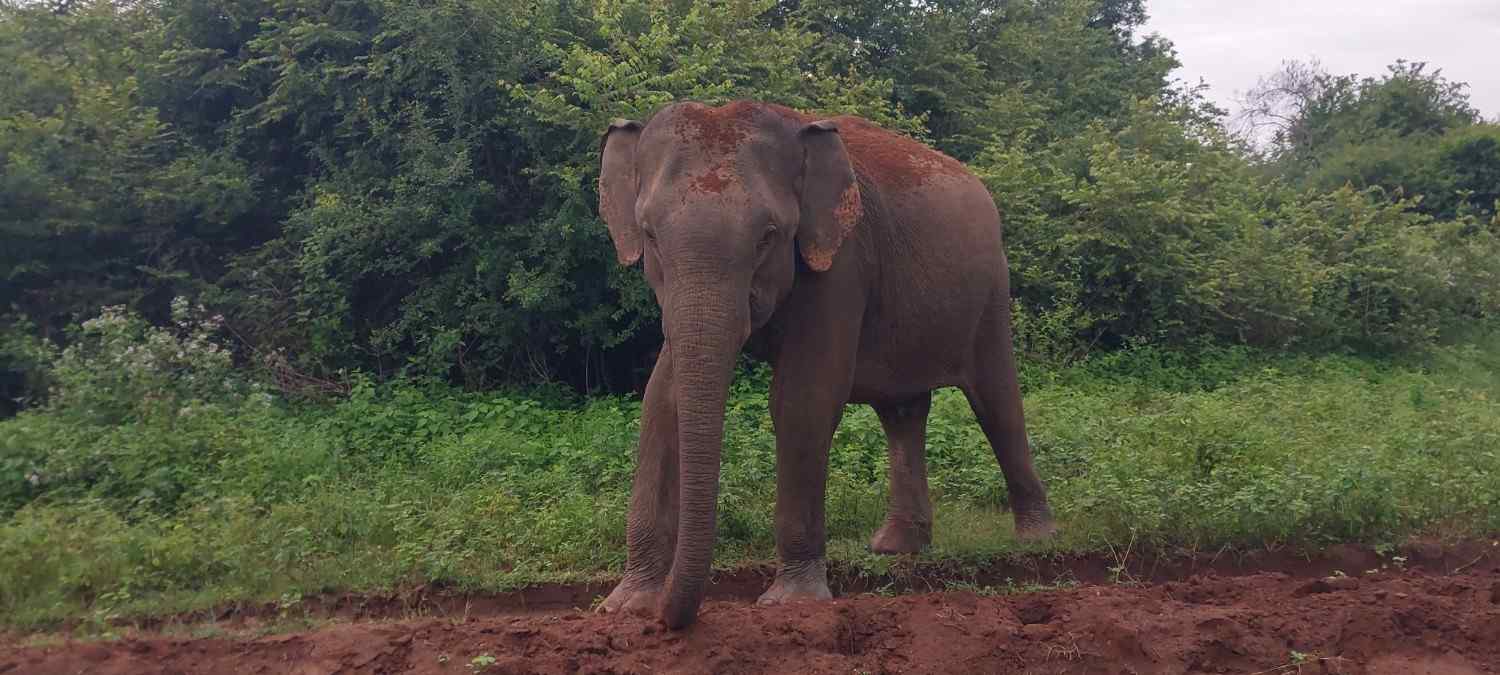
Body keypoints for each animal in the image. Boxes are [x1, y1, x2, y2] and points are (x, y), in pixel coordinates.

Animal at [595, 100, 1055, 629]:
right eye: (650, 234)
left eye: (769, 236)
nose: (669, 619)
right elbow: (661, 401)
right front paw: (626, 606)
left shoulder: (841, 261)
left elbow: (802, 399)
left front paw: (791, 601)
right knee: (903, 412)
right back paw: (896, 548)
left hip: (992, 290)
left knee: (997, 401)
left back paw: (1036, 539)